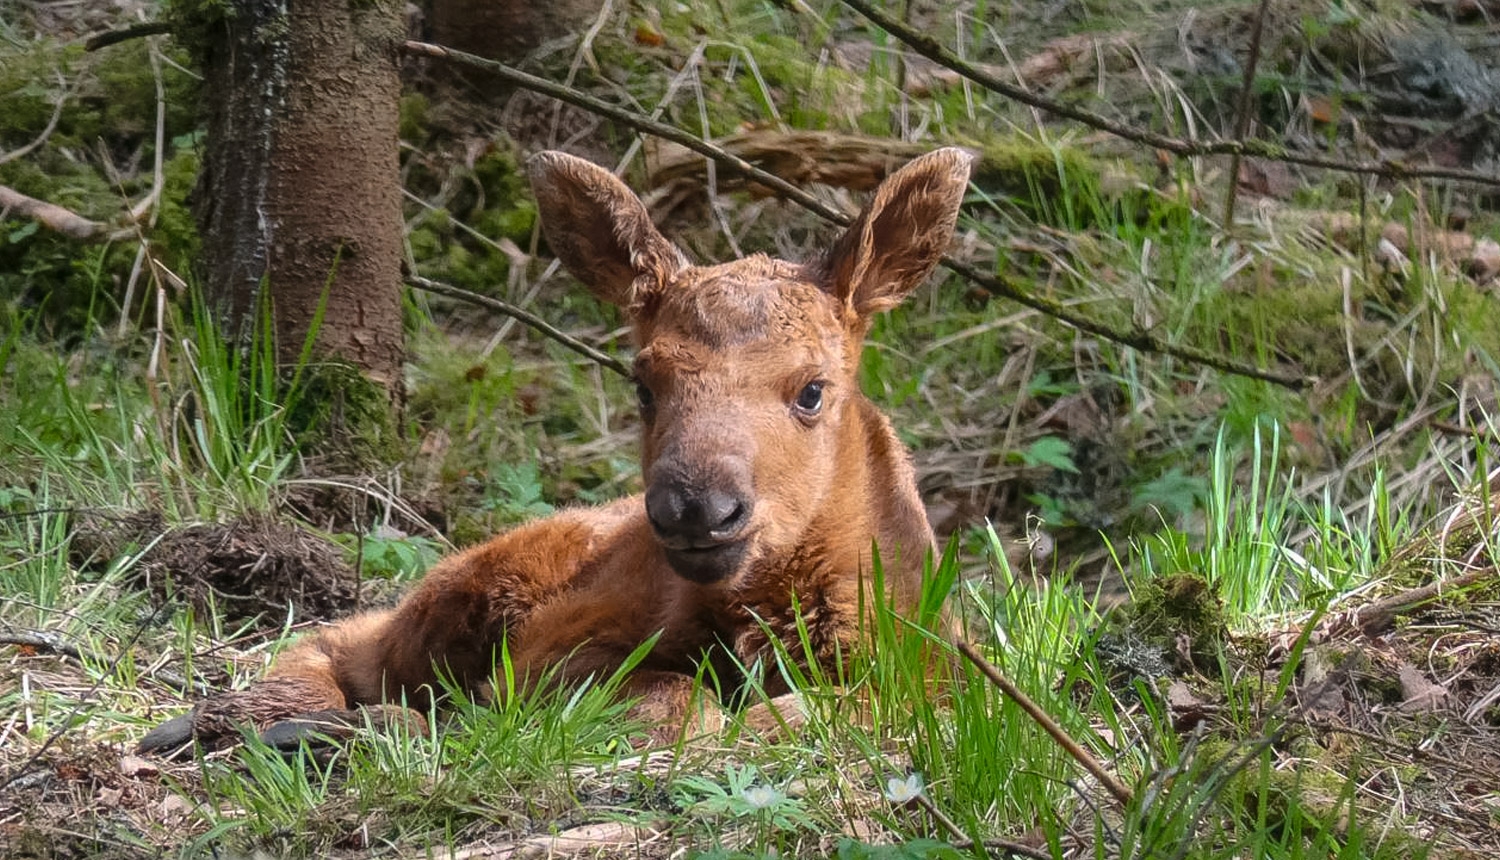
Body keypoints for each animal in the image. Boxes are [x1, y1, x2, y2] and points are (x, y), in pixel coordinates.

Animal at [141, 142, 978, 750]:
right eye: (644, 383)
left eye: (812, 390)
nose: (697, 509)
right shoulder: (551, 652)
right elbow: (682, 700)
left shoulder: (946, 673)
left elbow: (849, 709)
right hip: (477, 583)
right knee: (351, 640)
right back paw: (268, 722)